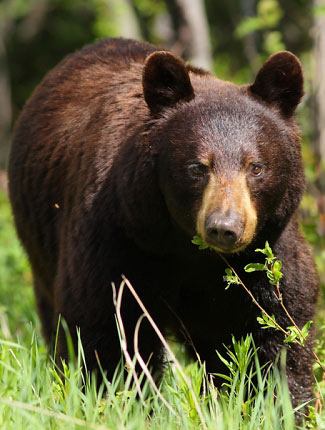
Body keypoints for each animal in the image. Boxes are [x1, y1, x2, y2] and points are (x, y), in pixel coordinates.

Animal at [7, 37, 316, 406]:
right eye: (197, 167)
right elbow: (109, 328)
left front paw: (283, 402)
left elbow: (279, 328)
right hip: (40, 248)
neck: (189, 251)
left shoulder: (267, 251)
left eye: (255, 167)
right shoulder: (118, 239)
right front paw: (119, 399)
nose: (224, 228)